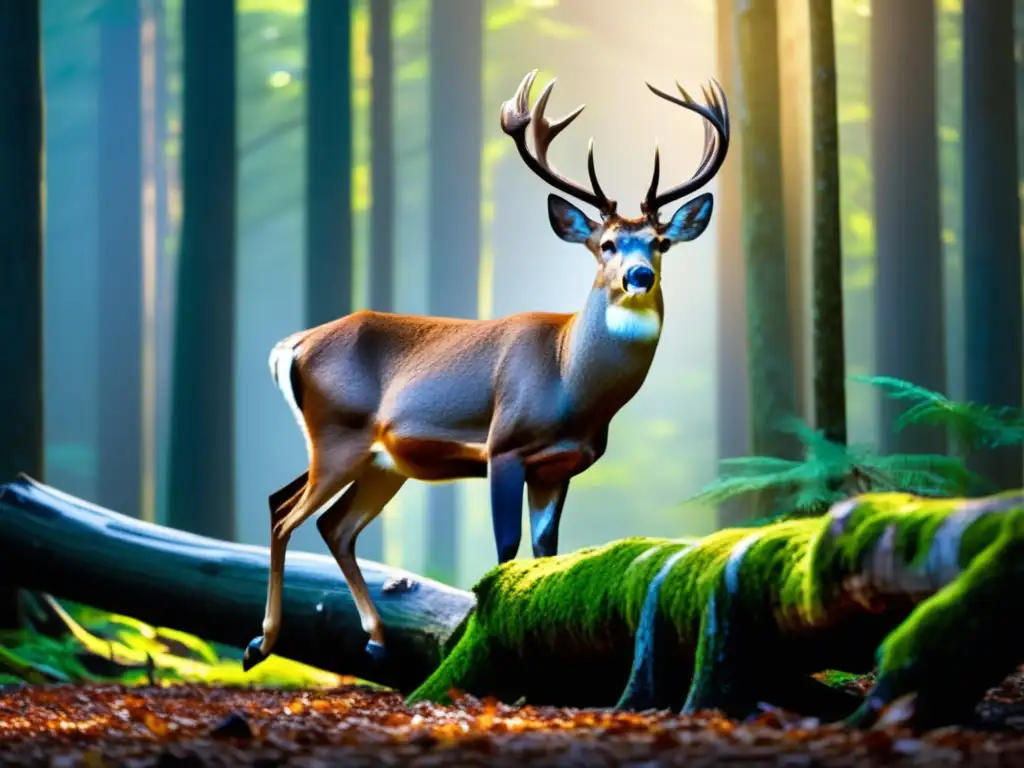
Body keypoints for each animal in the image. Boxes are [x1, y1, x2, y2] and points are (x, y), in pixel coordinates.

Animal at [243, 72, 733, 671]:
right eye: (606, 243)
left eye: (660, 242)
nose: (638, 275)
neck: (569, 378)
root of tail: (292, 344)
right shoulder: (504, 445)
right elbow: (505, 550)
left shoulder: (558, 467)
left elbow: (546, 552)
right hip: (337, 434)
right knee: (288, 514)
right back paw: (260, 643)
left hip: (379, 460)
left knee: (324, 521)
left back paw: (376, 640)